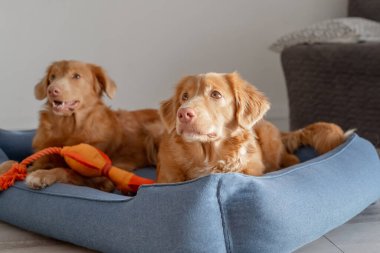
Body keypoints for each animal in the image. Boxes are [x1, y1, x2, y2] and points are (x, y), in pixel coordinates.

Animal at [1, 60, 165, 191]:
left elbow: (64, 170)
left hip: (154, 134)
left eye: (76, 76)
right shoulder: (42, 158)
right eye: (52, 77)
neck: (68, 127)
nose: (52, 90)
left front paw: (42, 174)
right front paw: (5, 168)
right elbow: (13, 162)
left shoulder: (102, 179)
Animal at [156, 72, 346, 183]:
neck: (209, 156)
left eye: (215, 94)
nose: (183, 113)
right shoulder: (167, 177)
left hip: (269, 137)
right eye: (184, 96)